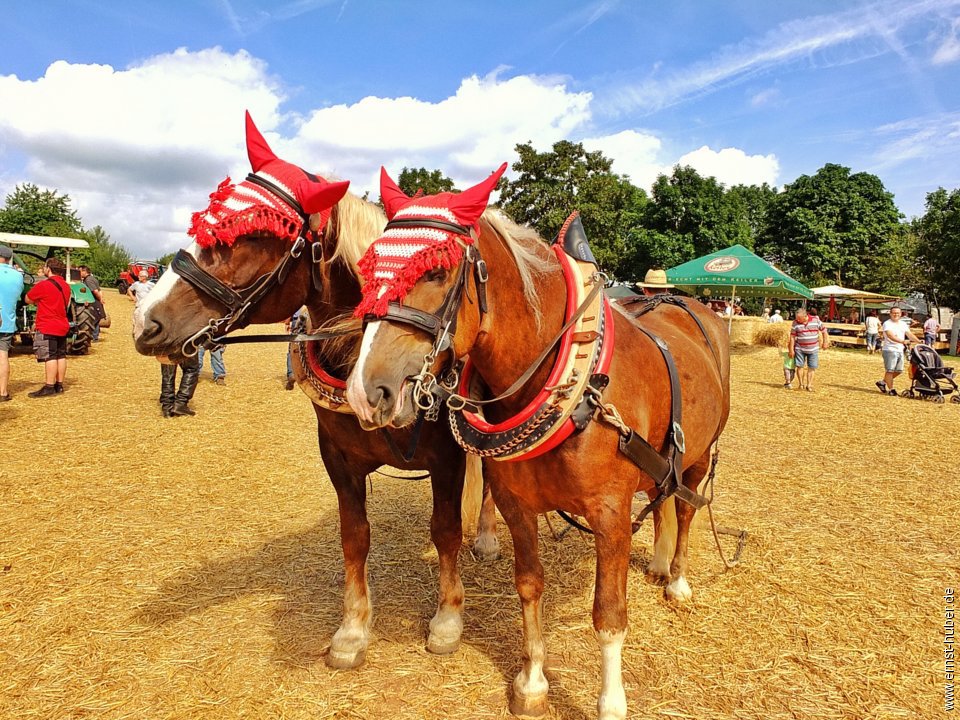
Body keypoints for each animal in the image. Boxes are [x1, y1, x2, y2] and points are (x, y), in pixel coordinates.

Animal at [131, 112, 498, 668]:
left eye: (250, 236)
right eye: (205, 222)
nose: (145, 321)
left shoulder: (447, 459)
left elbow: (445, 531)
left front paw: (448, 619)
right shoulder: (338, 457)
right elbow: (354, 537)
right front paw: (352, 630)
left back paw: (490, 536)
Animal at [344, 167, 728, 720]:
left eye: (436, 271)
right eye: (368, 267)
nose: (365, 390)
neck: (574, 384)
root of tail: (685, 302)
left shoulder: (610, 515)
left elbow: (608, 614)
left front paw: (611, 701)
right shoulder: (516, 505)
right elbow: (529, 587)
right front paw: (531, 683)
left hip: (700, 454)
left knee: (685, 506)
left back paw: (675, 578)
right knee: (661, 499)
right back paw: (657, 562)